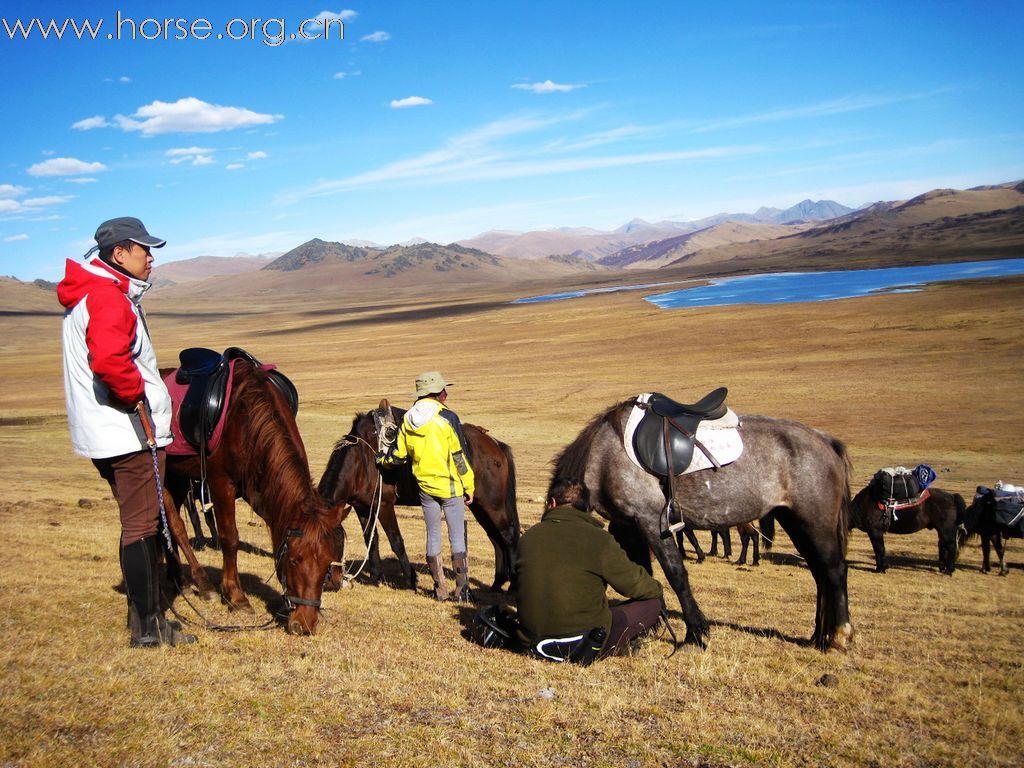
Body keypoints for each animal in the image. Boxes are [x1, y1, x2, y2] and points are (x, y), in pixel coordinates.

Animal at [159, 352, 344, 634]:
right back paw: (202, 583)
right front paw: (236, 597)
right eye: (294, 561)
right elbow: (229, 537)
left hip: (178, 478)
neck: (246, 420)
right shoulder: (220, 483)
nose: (304, 624)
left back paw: (178, 579)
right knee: (174, 524)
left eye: (326, 564)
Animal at [317, 403, 520, 593]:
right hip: (478, 505)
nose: (331, 582)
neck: (361, 461)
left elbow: (396, 541)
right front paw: (376, 577)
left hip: (493, 505)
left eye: (336, 543)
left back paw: (512, 585)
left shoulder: (384, 506)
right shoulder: (362, 508)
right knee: (495, 538)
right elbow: (371, 541)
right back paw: (497, 583)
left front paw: (410, 580)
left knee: (508, 535)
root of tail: (494, 444)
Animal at [548, 393, 851, 651]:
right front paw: (651, 625)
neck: (603, 455)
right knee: (820, 574)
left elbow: (675, 574)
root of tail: (825, 440)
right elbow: (643, 574)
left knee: (834, 570)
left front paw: (695, 632)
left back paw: (839, 636)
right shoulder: (629, 527)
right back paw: (817, 637)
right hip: (796, 522)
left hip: (815, 522)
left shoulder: (651, 520)